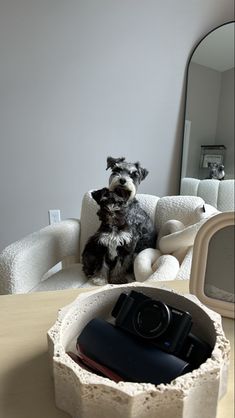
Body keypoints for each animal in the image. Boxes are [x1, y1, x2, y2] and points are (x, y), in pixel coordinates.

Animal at [81, 158, 157, 286]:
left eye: (134, 174)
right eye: (116, 169)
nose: (122, 180)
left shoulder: (128, 245)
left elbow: (120, 265)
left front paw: (117, 279)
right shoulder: (102, 245)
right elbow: (102, 265)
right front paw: (100, 279)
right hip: (90, 247)